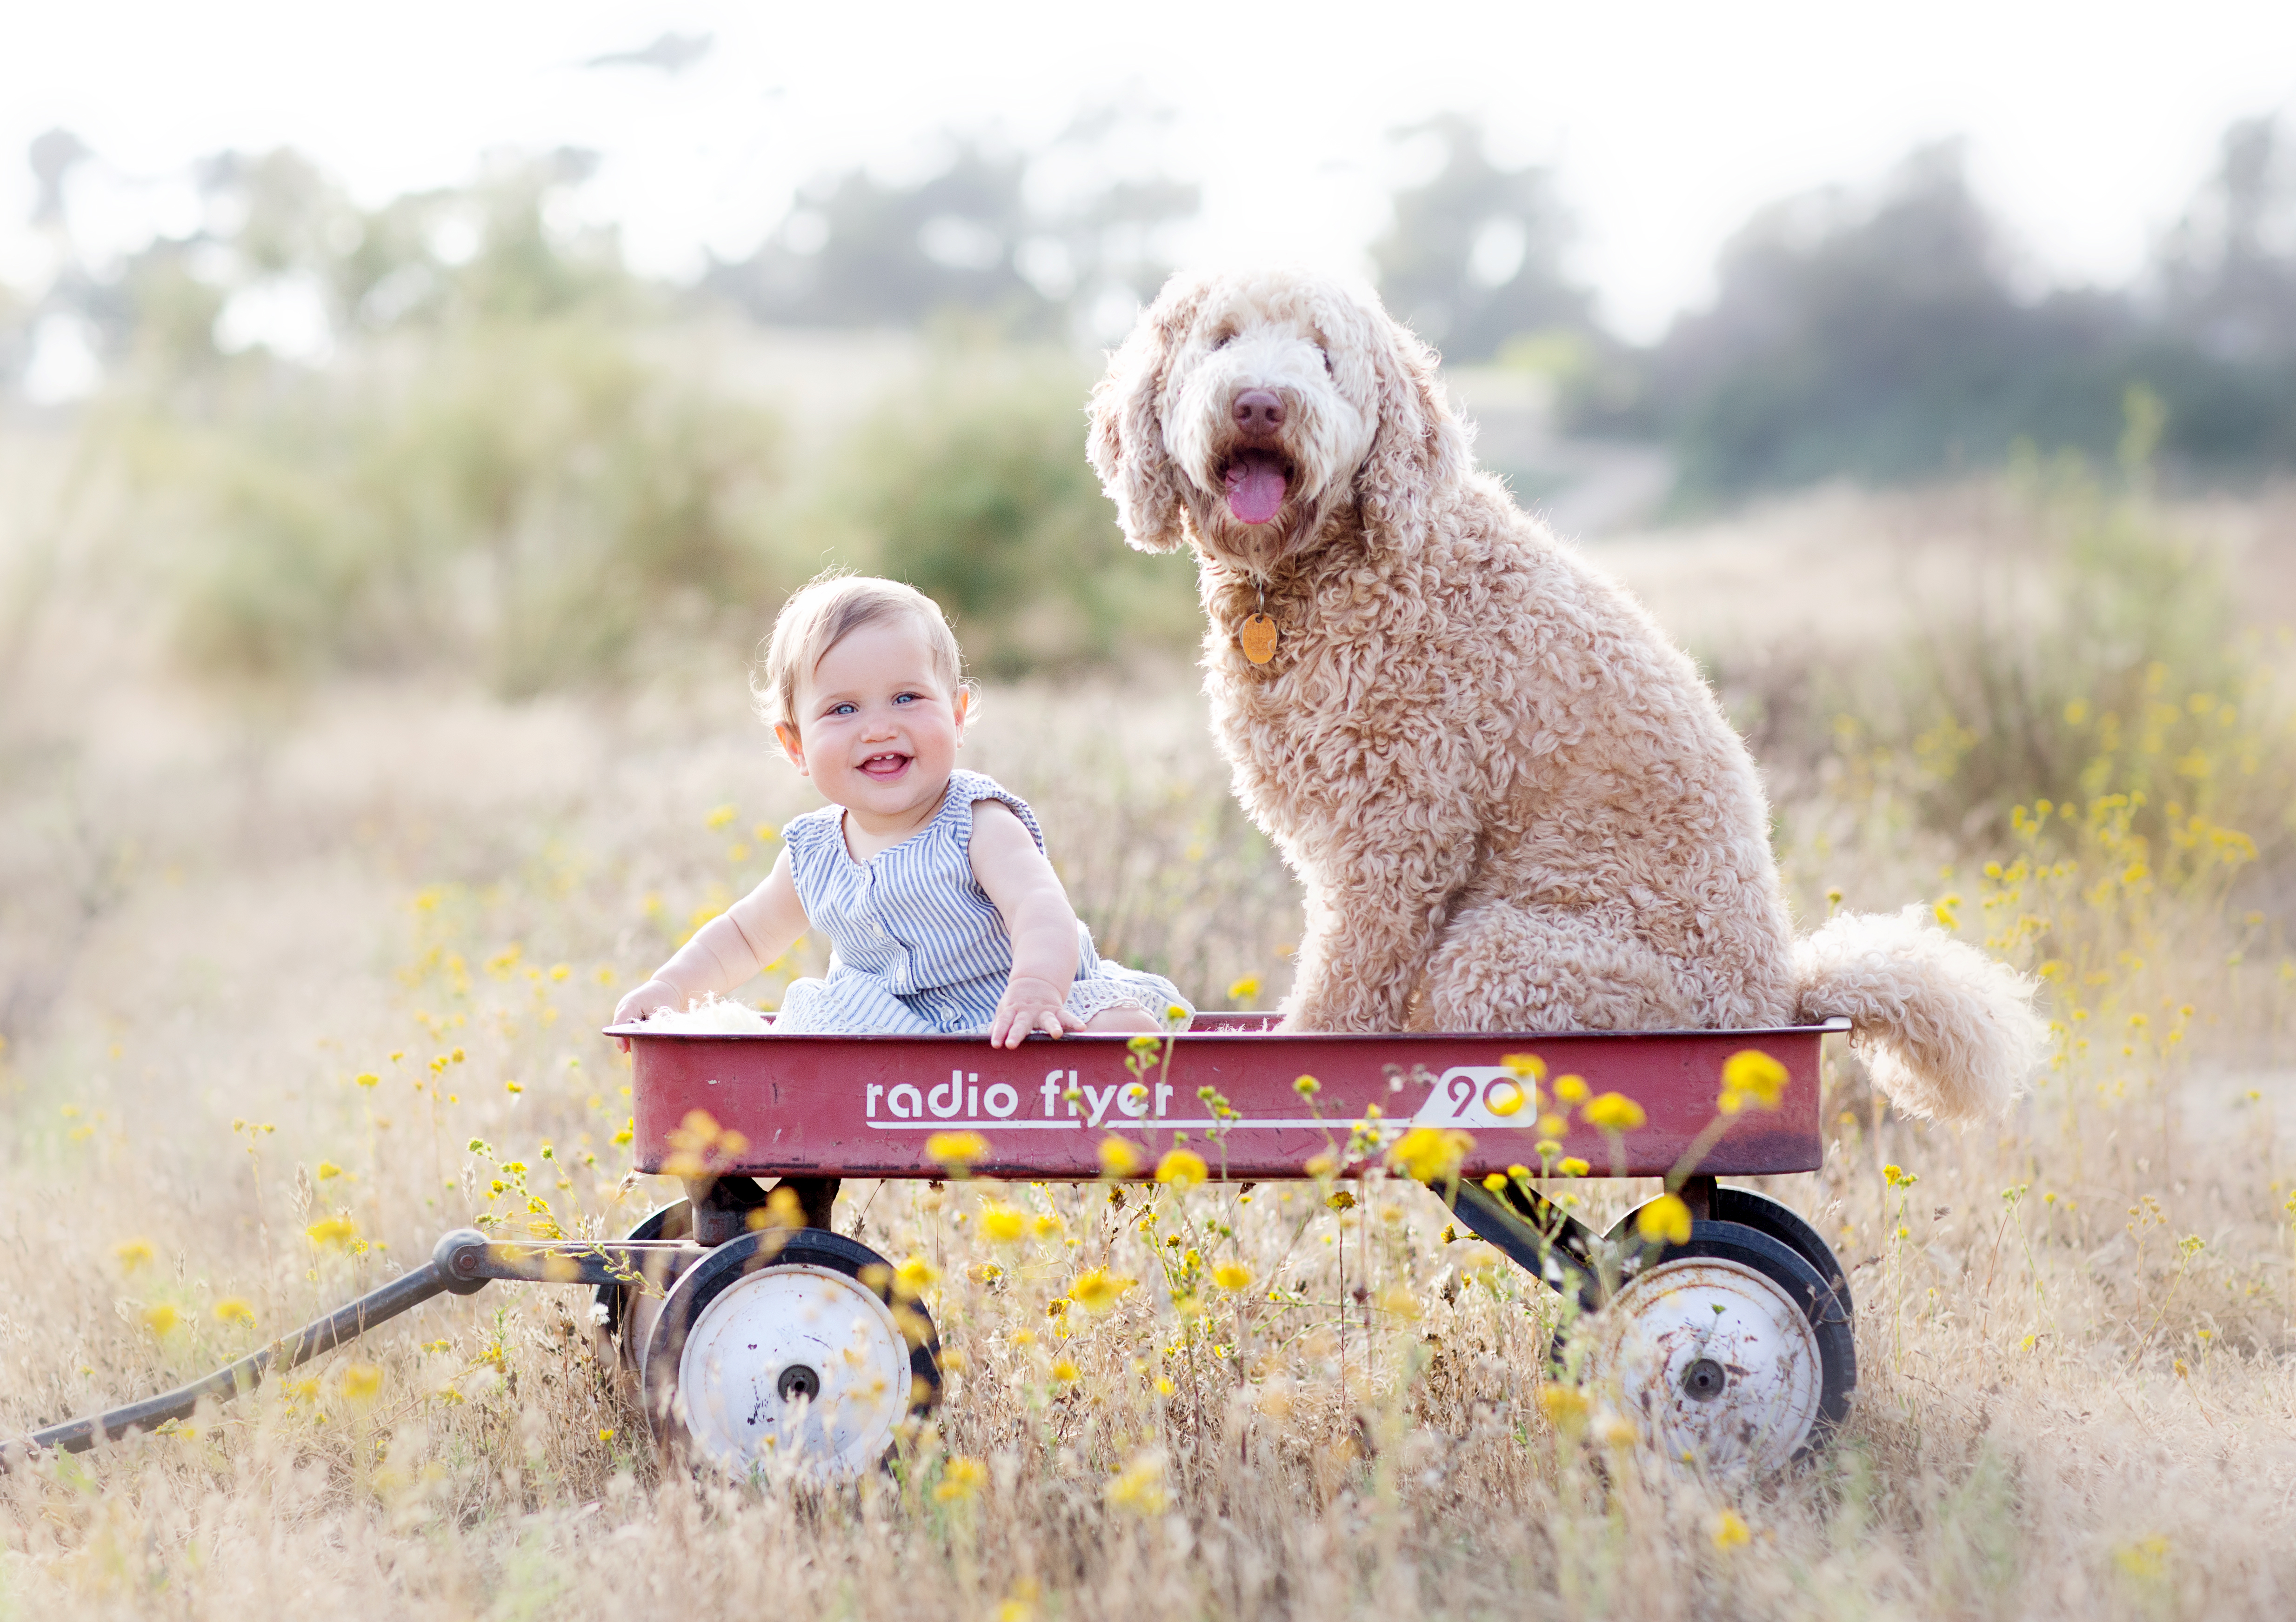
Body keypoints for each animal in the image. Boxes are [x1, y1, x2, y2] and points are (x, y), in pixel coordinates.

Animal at [1083, 273, 2039, 1124]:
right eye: (1221, 340)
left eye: (1324, 356)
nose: (1259, 405)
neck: (1329, 572)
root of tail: (1780, 997)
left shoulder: (1396, 834)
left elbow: (1343, 994)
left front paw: (1302, 1071)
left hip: (1497, 958)